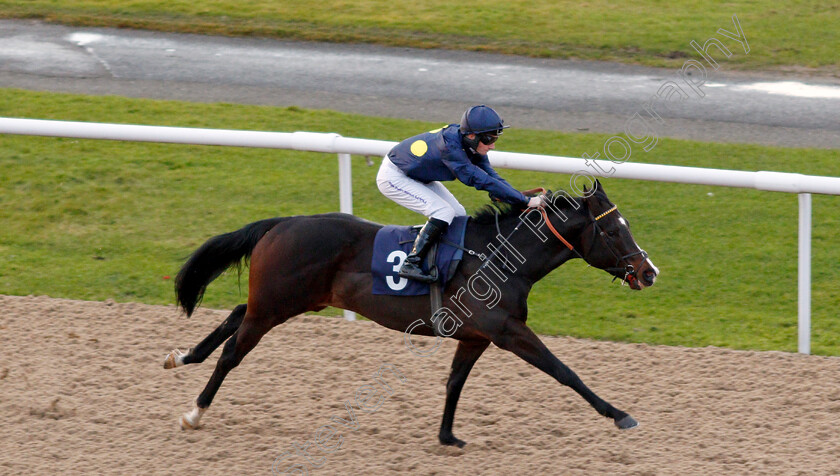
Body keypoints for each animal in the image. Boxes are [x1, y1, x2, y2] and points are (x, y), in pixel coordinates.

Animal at [167, 181, 660, 446]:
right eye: (614, 231)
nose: (648, 272)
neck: (499, 258)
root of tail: (282, 223)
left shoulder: (475, 336)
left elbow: (454, 383)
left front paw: (447, 437)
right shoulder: (507, 330)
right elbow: (564, 371)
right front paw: (619, 414)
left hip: (283, 301)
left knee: (235, 312)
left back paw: (182, 356)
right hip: (276, 305)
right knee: (233, 352)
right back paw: (194, 412)